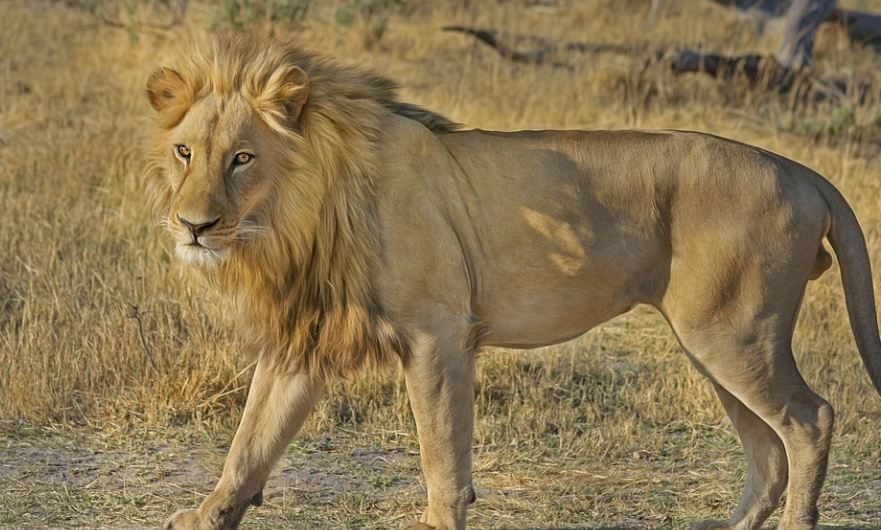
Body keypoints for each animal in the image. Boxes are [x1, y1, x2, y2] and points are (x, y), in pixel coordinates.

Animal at [145, 34, 881, 530]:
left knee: (809, 421)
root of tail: (801, 171)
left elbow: (442, 458)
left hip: (732, 334)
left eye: (243, 158)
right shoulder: (305, 338)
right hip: (714, 343)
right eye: (185, 152)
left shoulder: (436, 333)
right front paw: (206, 514)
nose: (193, 225)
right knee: (767, 452)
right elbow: (251, 439)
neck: (298, 217)